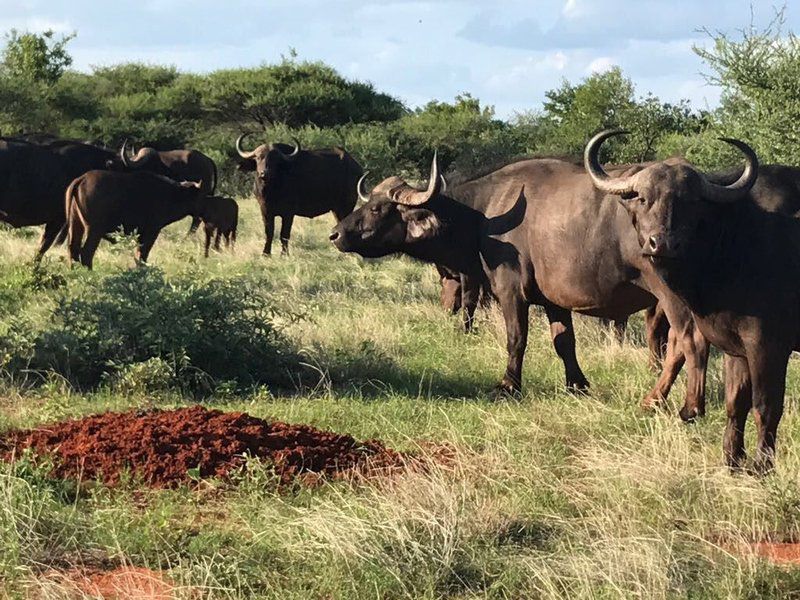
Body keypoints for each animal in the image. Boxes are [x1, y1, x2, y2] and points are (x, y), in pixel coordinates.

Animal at [67, 169, 205, 268]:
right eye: (200, 196)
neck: (173, 194)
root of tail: (82, 179)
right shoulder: (152, 231)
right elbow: (143, 255)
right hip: (95, 230)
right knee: (86, 253)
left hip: (76, 225)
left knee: (73, 250)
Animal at [236, 134, 364, 255]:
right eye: (258, 157)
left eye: (275, 160)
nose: (265, 173)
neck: (271, 190)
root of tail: (357, 167)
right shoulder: (265, 211)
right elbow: (269, 233)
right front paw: (266, 253)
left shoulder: (288, 213)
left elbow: (284, 234)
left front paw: (284, 254)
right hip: (336, 209)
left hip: (346, 206)